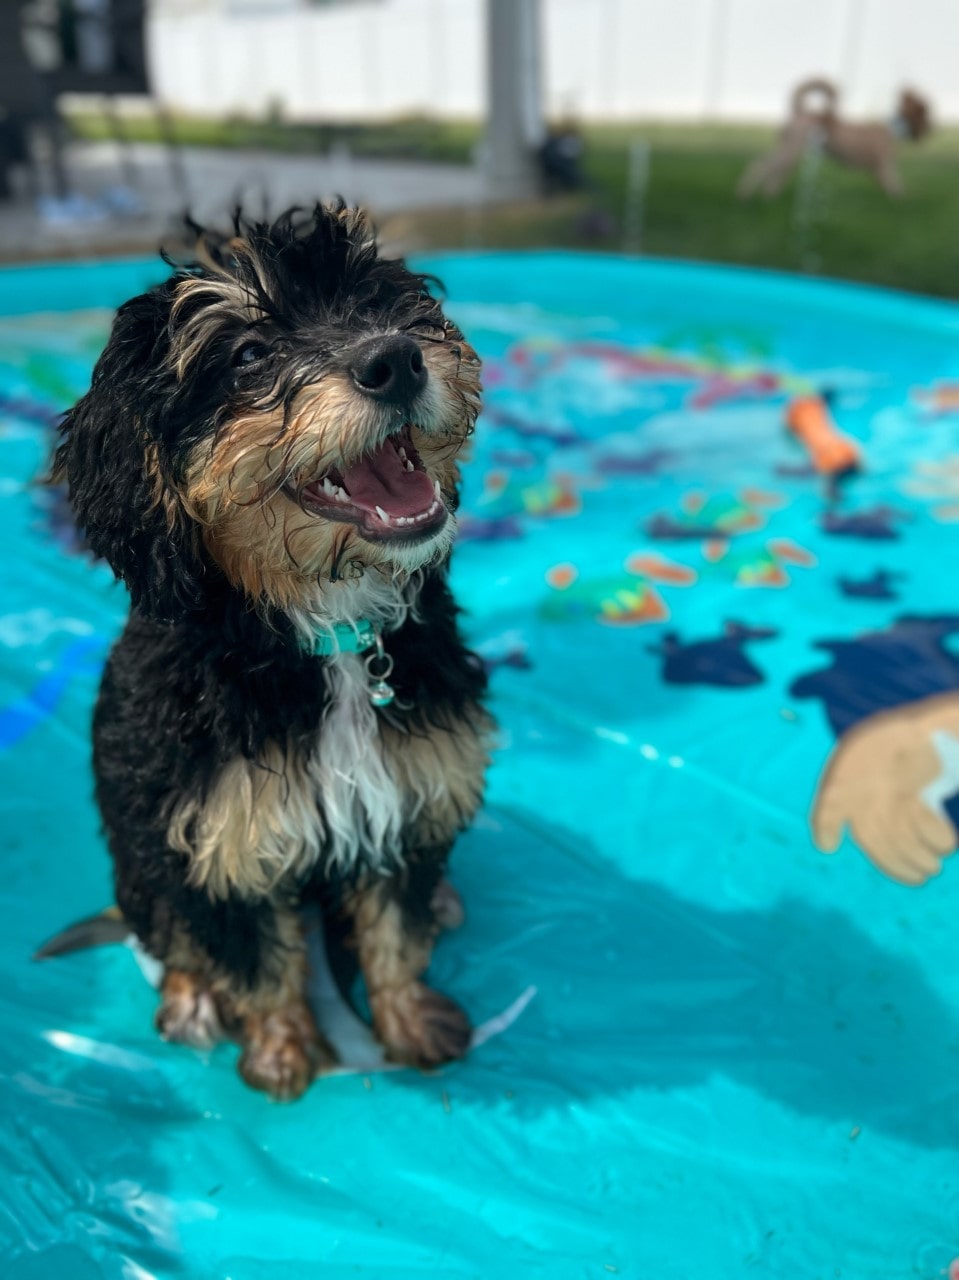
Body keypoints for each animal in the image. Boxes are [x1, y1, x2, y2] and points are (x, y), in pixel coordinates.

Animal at [45, 202, 494, 1100]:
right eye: (249, 354)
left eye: (376, 301)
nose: (393, 358)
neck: (329, 635)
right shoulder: (218, 832)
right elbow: (254, 956)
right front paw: (282, 1052)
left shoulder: (408, 785)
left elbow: (394, 925)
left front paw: (408, 1022)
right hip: (139, 845)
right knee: (165, 925)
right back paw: (189, 997)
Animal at [737, 79, 932, 197]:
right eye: (926, 116)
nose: (932, 128)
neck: (894, 129)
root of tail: (800, 112)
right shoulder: (885, 167)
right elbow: (896, 188)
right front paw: (906, 201)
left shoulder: (879, 171)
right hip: (791, 152)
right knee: (760, 166)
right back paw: (745, 195)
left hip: (789, 154)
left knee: (773, 174)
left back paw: (769, 196)